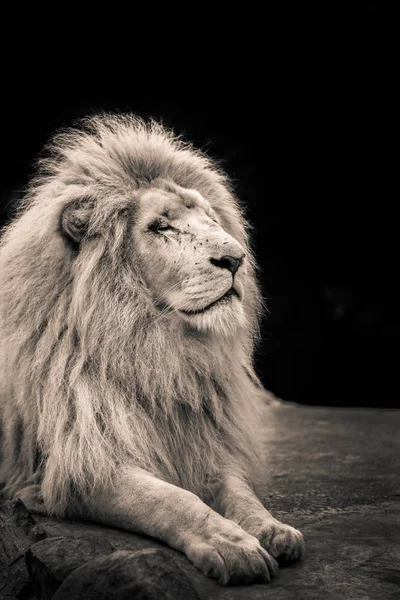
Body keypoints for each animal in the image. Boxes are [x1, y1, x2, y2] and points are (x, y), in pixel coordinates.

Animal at [0, 115, 304, 584]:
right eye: (161, 227)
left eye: (212, 219)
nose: (236, 259)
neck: (157, 353)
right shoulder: (80, 467)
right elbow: (173, 500)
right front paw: (232, 545)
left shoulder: (204, 441)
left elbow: (240, 492)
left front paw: (271, 528)